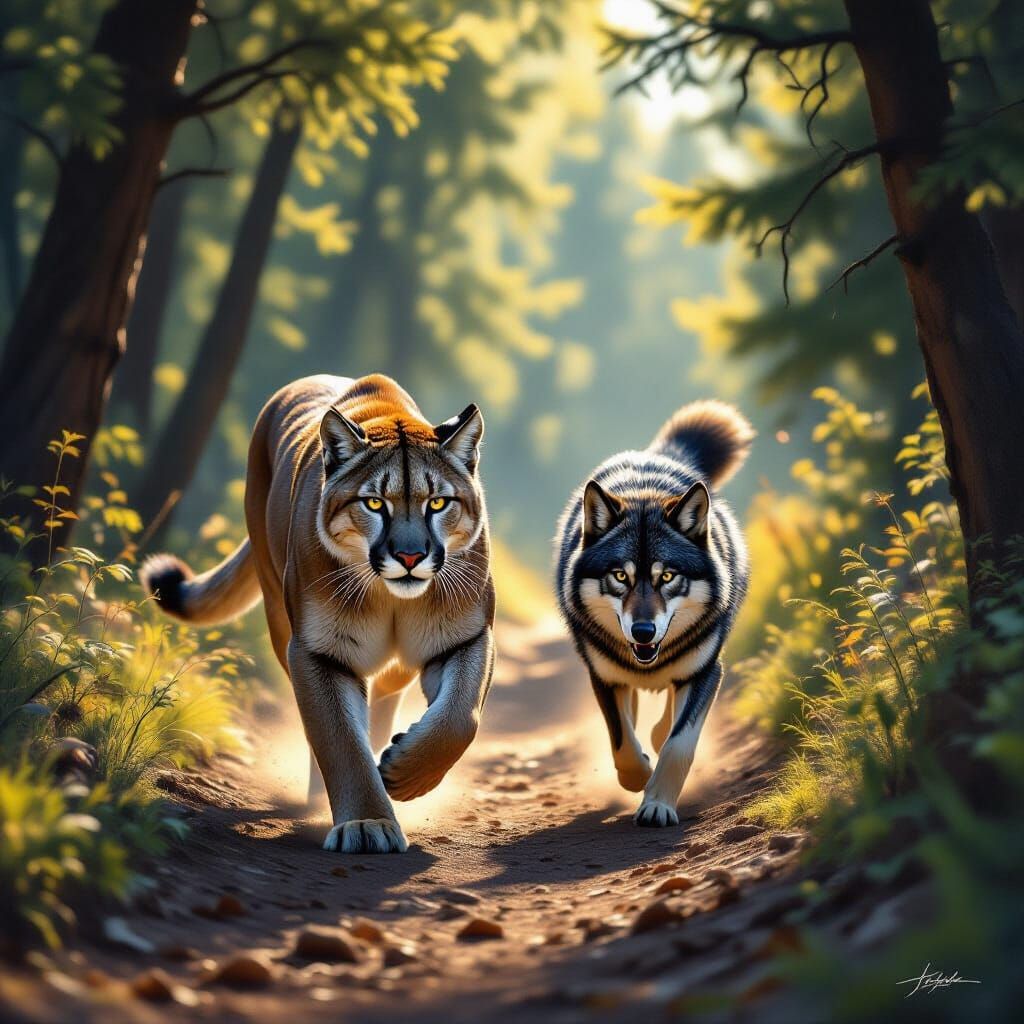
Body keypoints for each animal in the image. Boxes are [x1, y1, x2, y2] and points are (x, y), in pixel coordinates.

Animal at [141, 374, 495, 854]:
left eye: (437, 503)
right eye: (374, 504)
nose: (409, 556)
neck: (388, 598)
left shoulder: (466, 638)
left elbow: (459, 718)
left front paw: (403, 772)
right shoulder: (318, 652)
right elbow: (339, 739)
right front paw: (367, 823)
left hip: (395, 668)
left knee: (386, 697)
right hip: (277, 615)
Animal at [555, 400, 753, 827]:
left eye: (667, 576)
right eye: (620, 576)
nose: (643, 632)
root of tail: (660, 454)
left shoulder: (707, 671)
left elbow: (679, 744)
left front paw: (658, 805)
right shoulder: (603, 676)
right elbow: (622, 741)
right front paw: (638, 776)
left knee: (667, 719)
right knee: (632, 716)